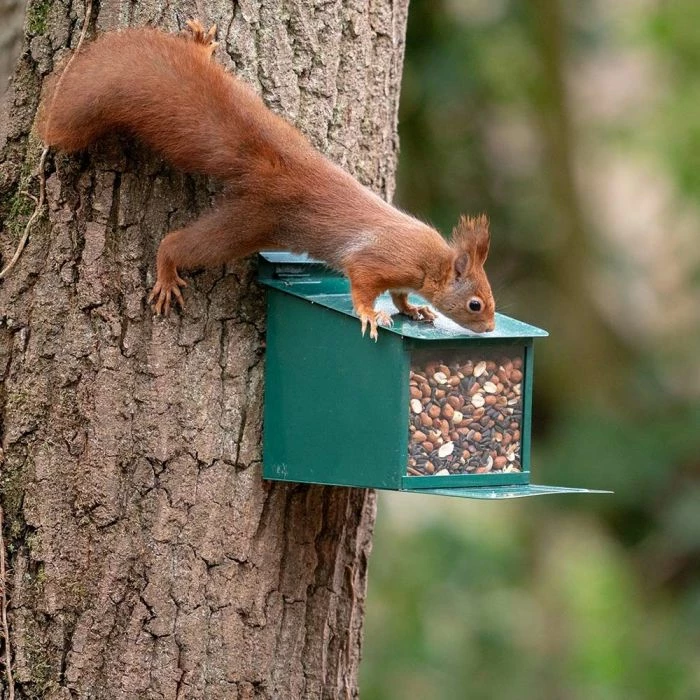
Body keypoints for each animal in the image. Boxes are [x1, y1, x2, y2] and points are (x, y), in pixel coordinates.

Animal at [39, 20, 495, 340]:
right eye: (475, 304)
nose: (491, 327)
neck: (430, 260)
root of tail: (274, 164)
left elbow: (400, 294)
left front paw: (414, 309)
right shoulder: (379, 260)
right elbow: (362, 283)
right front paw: (370, 314)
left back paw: (201, 48)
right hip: (248, 224)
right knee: (181, 244)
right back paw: (167, 271)